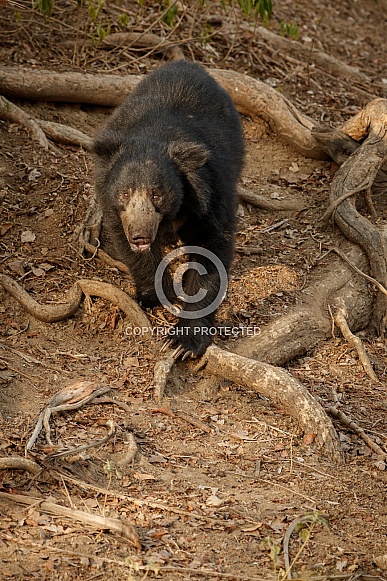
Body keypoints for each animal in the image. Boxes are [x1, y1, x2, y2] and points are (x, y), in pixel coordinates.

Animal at [93, 60, 246, 358]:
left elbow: (210, 252)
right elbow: (129, 246)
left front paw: (183, 341)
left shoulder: (210, 195)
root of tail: (187, 64)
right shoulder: (114, 208)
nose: (140, 235)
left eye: (157, 194)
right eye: (125, 193)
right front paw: (153, 295)